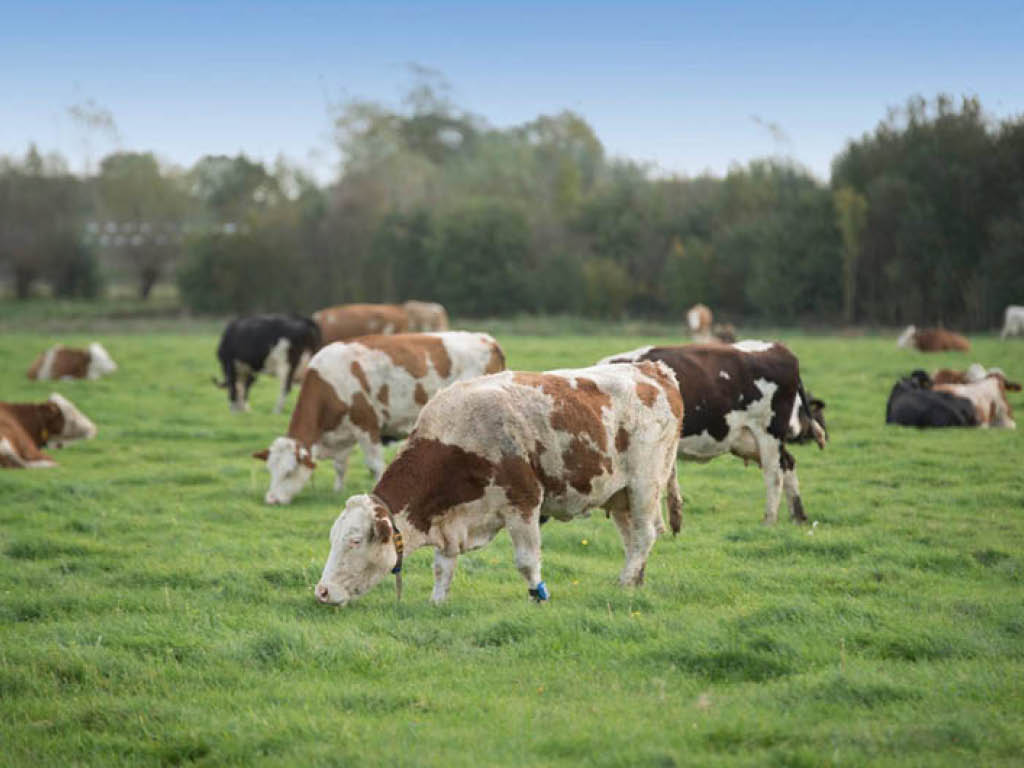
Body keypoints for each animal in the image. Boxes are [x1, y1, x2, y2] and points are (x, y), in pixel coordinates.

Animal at [253, 331, 505, 505]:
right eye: (270, 470)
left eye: (289, 472)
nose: (271, 500)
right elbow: (339, 466)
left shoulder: (367, 425)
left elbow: (374, 465)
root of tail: (487, 340)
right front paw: (337, 490)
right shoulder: (342, 434)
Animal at [311, 360, 679, 606]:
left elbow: (527, 561)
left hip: (645, 485)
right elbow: (442, 567)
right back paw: (635, 581)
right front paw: (437, 602)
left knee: (644, 535)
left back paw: (625, 581)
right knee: (633, 541)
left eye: (355, 541)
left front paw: (538, 598)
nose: (322, 591)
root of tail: (653, 369)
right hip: (619, 496)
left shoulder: (524, 502)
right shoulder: (449, 521)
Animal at [598, 342, 827, 528]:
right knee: (788, 463)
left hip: (769, 433)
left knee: (774, 474)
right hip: (750, 439)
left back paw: (769, 520)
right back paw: (798, 516)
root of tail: (780, 348)